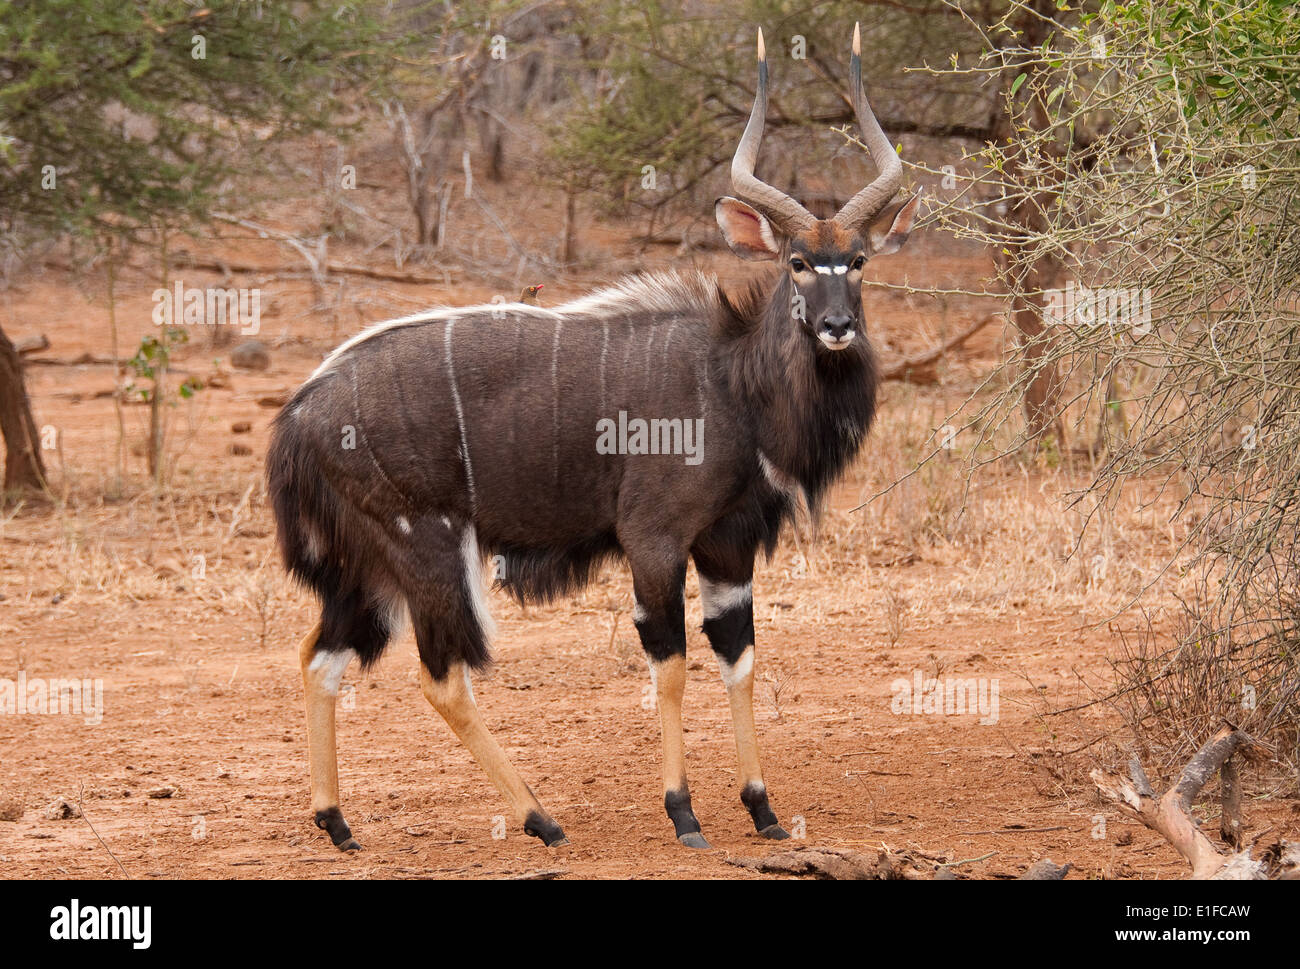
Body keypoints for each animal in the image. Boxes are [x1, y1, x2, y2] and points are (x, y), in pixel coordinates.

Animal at [271, 24, 925, 848]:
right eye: (799, 261)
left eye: (860, 261)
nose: (837, 326)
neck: (733, 383)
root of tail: (299, 413)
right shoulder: (654, 538)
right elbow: (670, 664)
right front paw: (683, 813)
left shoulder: (728, 544)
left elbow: (739, 655)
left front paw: (764, 809)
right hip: (426, 550)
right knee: (441, 675)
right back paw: (541, 819)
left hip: (370, 566)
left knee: (317, 657)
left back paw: (337, 821)